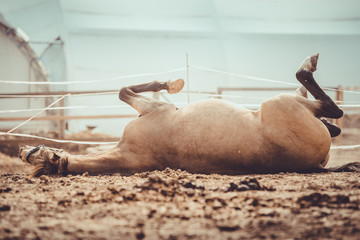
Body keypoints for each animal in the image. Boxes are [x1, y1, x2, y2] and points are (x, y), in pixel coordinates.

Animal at [19, 53, 360, 176]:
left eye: (37, 156)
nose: (25, 150)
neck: (129, 152)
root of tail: (315, 165)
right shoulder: (155, 108)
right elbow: (124, 91)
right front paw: (171, 83)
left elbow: (121, 90)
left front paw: (171, 83)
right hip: (281, 103)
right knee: (329, 107)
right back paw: (309, 67)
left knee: (329, 114)